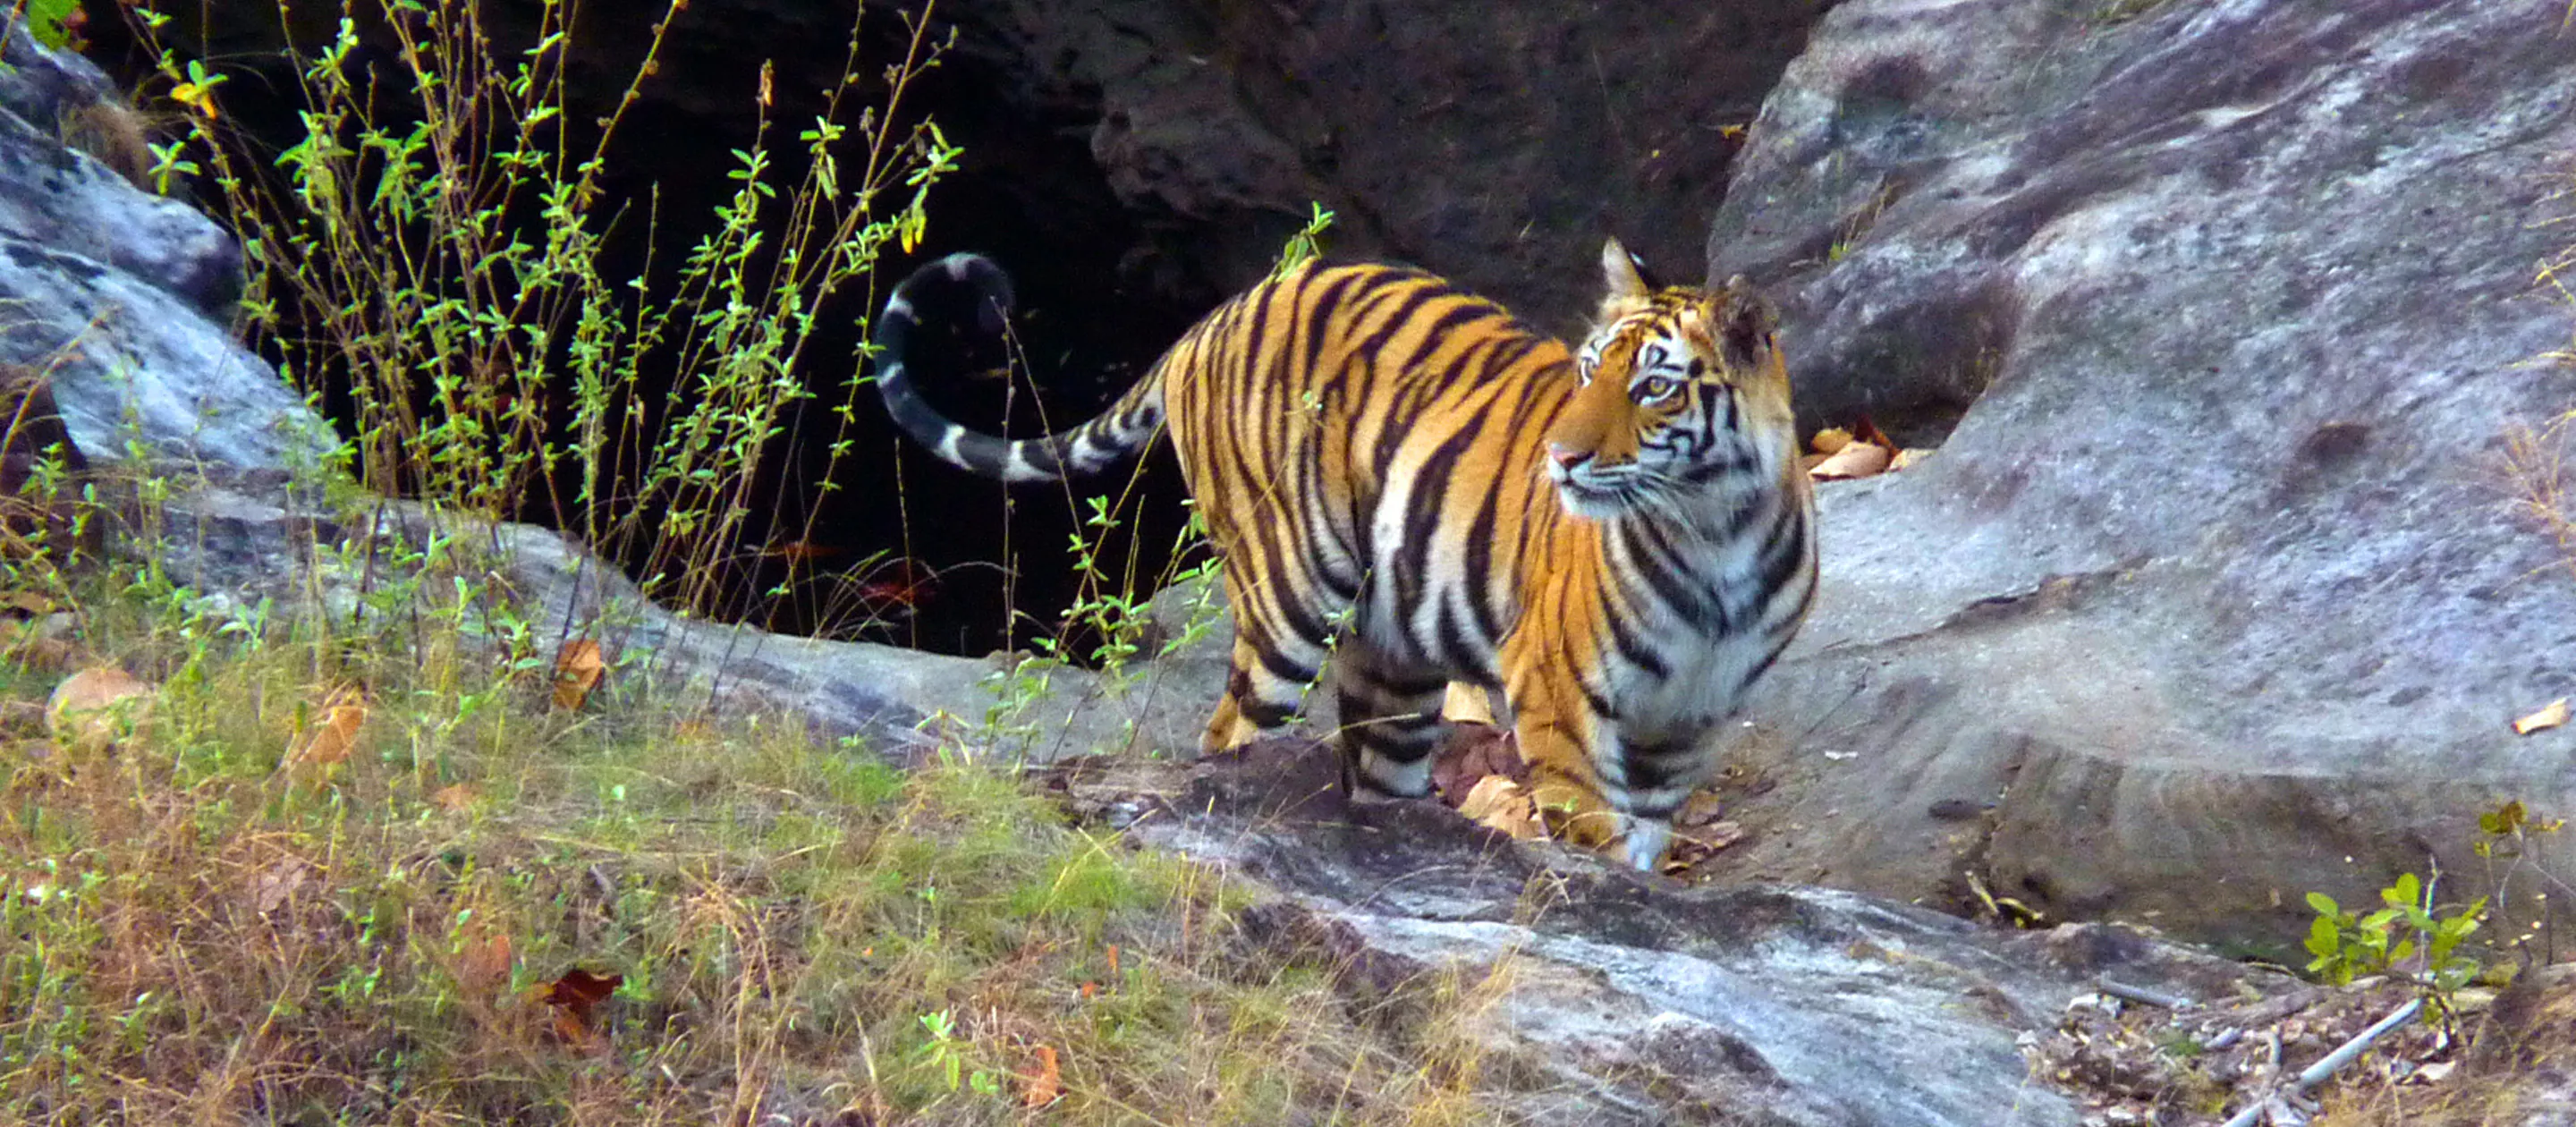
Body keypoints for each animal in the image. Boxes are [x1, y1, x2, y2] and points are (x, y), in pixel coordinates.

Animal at [871, 240, 1816, 870]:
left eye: (1653, 387)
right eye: (1588, 372)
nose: (1561, 458)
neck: (1717, 533)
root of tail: (1215, 315)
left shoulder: (1686, 723)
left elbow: (1643, 846)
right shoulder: (1558, 697)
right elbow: (1595, 837)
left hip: (1394, 665)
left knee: (1375, 776)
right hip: (1291, 599)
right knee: (1227, 738)